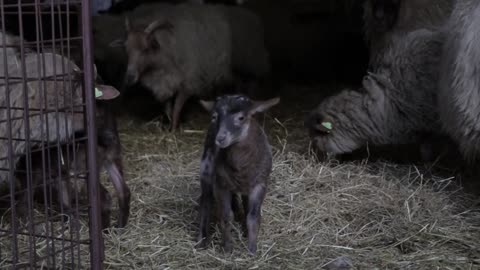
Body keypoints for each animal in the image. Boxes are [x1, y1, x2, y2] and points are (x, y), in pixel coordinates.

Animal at [194, 94, 278, 254]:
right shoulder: (220, 184)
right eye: (214, 116)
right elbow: (227, 216)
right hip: (206, 169)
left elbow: (253, 216)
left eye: (241, 117)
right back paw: (202, 239)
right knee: (205, 202)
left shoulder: (260, 184)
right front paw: (227, 248)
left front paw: (252, 250)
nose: (220, 138)